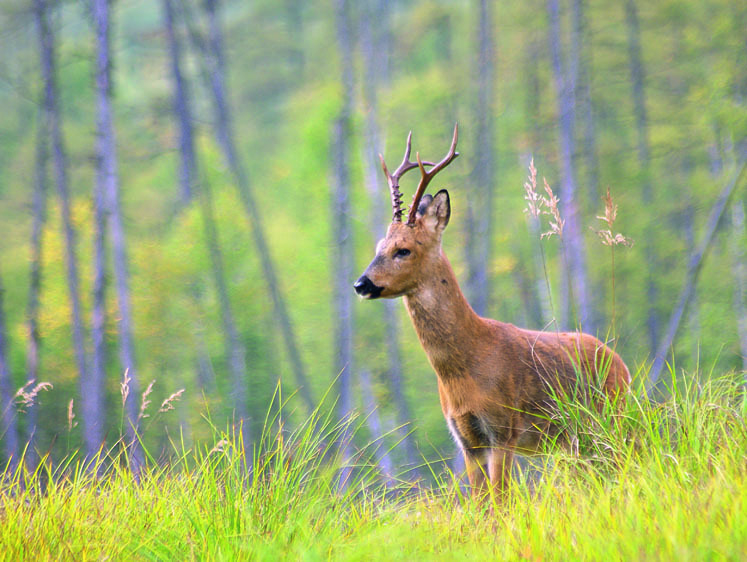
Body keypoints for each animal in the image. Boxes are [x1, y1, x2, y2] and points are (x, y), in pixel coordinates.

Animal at [354, 126, 628, 494]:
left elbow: (502, 500)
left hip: (609, 416)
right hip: (577, 439)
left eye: (404, 250)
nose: (361, 284)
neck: (465, 365)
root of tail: (621, 364)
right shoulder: (467, 441)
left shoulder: (503, 428)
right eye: (378, 247)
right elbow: (481, 503)